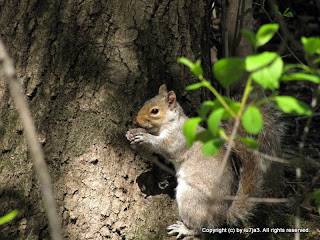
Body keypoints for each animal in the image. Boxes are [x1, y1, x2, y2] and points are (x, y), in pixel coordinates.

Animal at [126, 84, 282, 238]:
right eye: (146, 102)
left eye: (155, 111)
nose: (136, 121)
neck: (172, 122)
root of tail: (221, 217)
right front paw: (132, 134)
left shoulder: (178, 139)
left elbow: (166, 149)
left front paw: (144, 137)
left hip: (190, 198)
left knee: (199, 227)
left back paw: (184, 229)